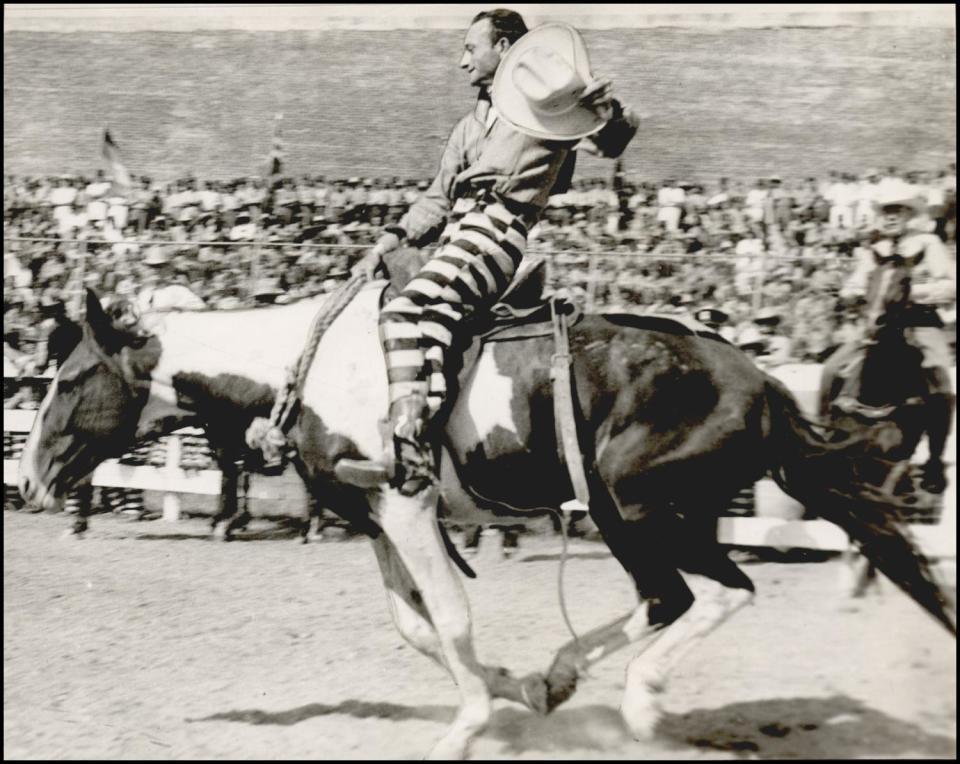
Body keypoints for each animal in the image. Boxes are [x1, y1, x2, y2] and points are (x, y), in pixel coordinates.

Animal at [16, 286, 952, 760]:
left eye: (67, 379)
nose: (28, 480)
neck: (303, 370)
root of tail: (764, 385)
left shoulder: (406, 503)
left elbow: (452, 617)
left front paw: (467, 726)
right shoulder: (375, 517)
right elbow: (418, 628)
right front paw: (507, 688)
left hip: (642, 504)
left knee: (719, 592)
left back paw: (642, 709)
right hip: (626, 512)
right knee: (668, 598)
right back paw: (559, 680)